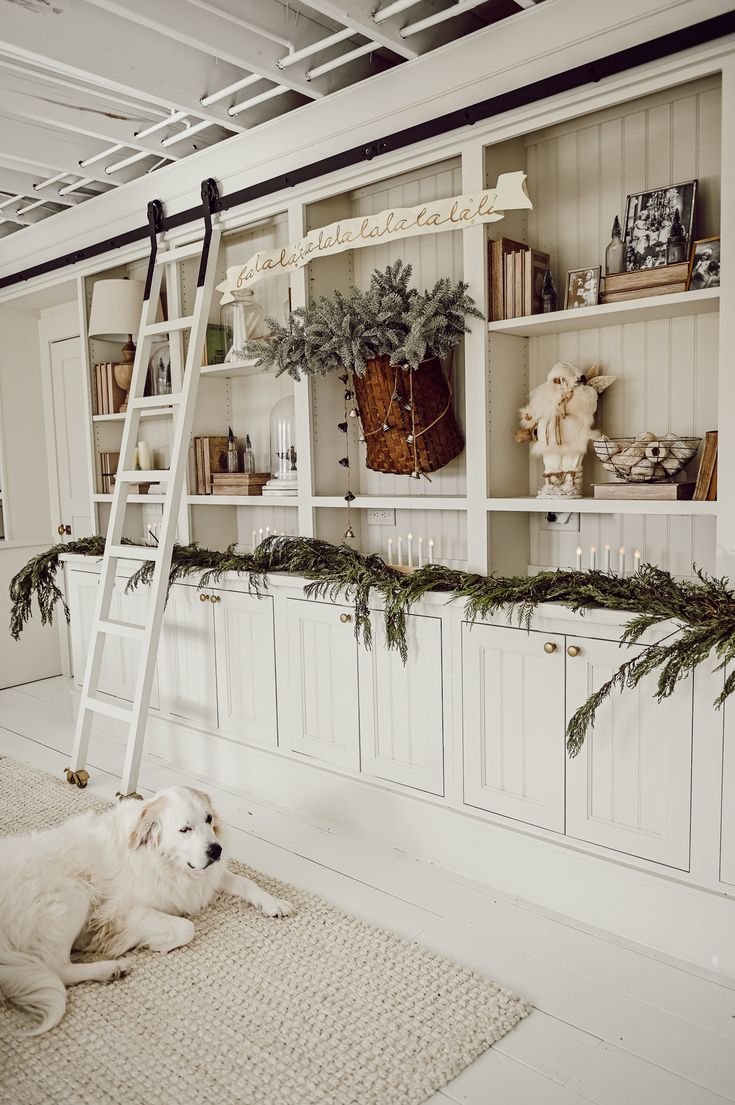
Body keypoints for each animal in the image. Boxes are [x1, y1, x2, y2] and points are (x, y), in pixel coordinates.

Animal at [0, 786, 291, 1034]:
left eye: (208, 818)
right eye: (185, 829)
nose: (216, 850)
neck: (164, 861)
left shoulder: (204, 878)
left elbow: (245, 881)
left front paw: (273, 903)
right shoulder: (123, 911)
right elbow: (186, 928)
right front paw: (140, 942)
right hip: (74, 895)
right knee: (58, 969)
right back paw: (109, 967)